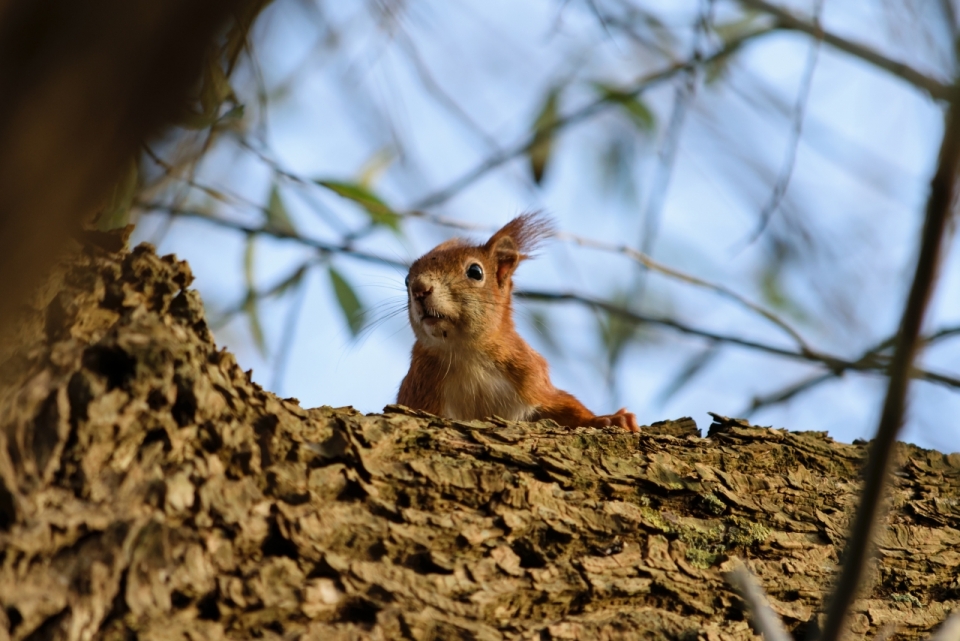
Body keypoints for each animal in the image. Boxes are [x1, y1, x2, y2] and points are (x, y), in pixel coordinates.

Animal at [398, 214, 636, 430]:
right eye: (407, 280)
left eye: (475, 271)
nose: (419, 289)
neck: (465, 354)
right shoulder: (420, 388)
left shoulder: (529, 377)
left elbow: (565, 406)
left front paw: (609, 419)